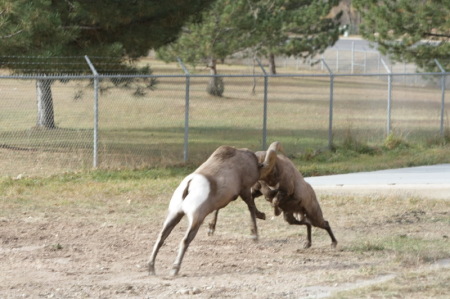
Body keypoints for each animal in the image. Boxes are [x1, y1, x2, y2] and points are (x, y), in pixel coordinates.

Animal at [148, 145, 274, 276]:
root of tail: (189, 185)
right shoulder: (244, 190)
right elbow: (251, 208)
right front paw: (255, 233)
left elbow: (218, 210)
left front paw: (211, 229)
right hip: (196, 219)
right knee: (185, 240)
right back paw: (174, 269)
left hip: (174, 215)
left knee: (161, 238)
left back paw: (151, 268)